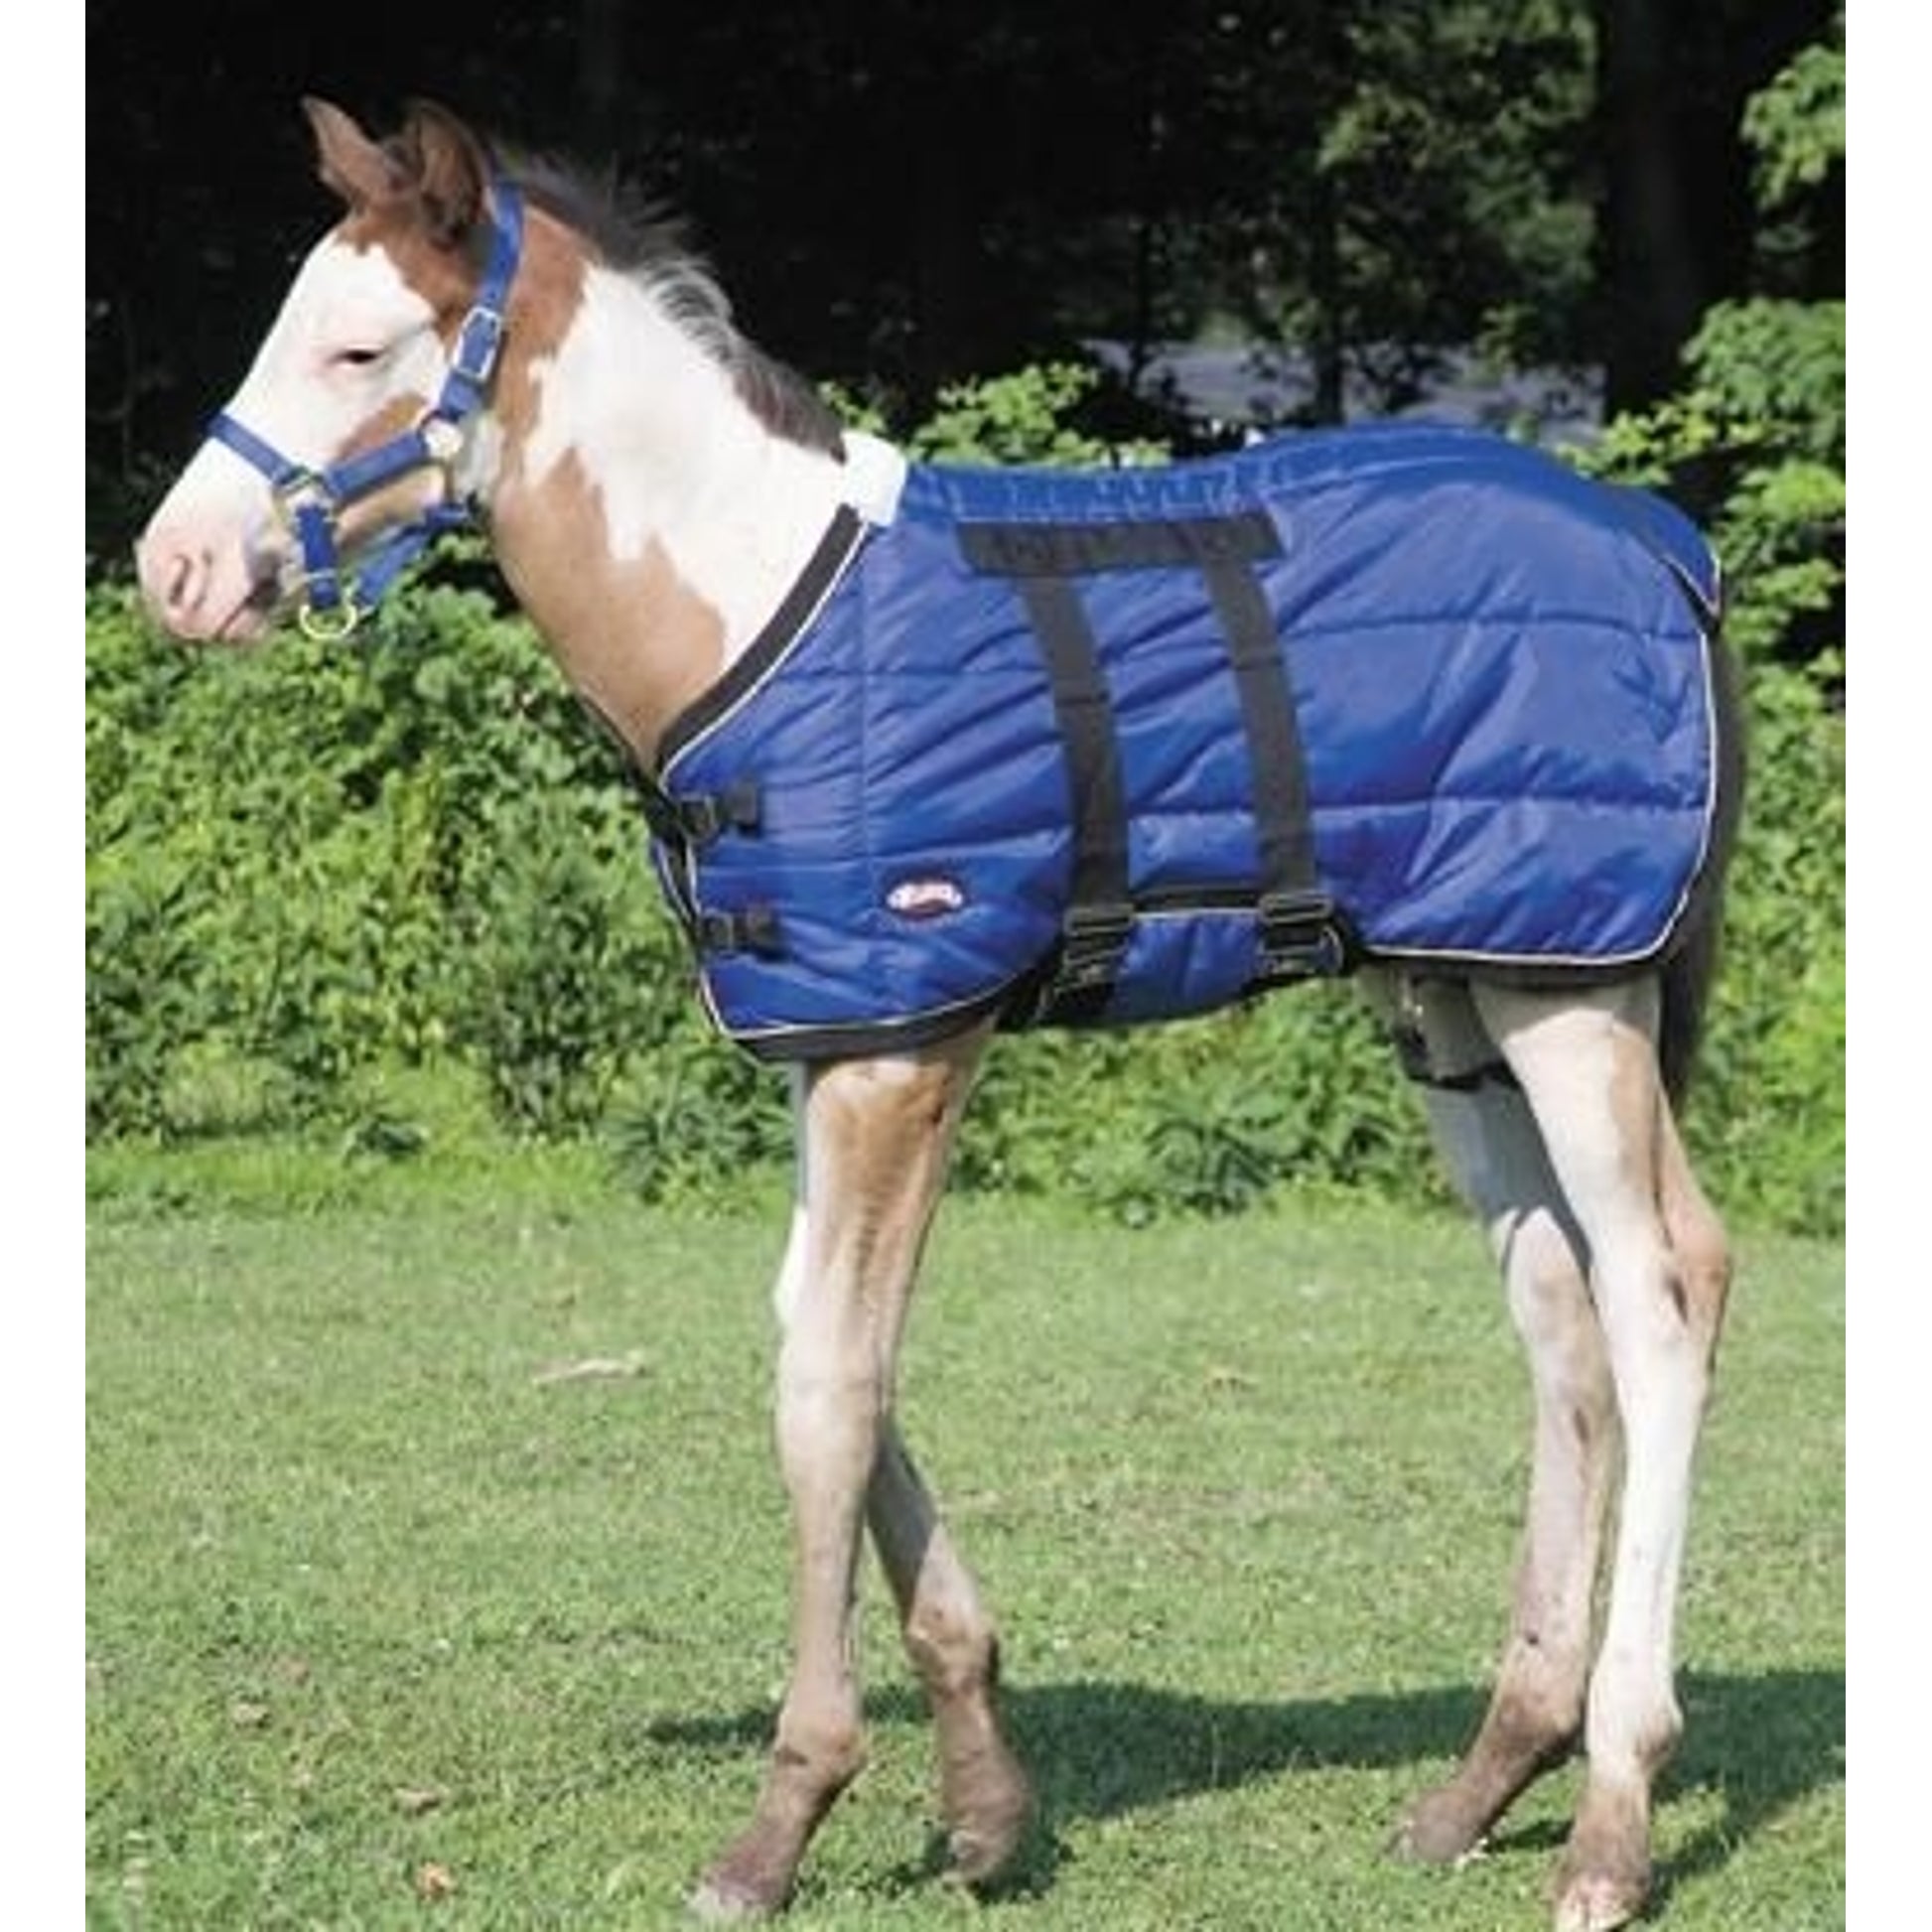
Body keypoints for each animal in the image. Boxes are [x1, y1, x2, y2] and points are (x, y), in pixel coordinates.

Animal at [134, 98, 1744, 1932]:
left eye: (359, 347)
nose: (174, 570)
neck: (756, 601)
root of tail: (1664, 543)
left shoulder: (904, 1047)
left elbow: (828, 1388)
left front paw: (786, 1814)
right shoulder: (837, 1039)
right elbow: (825, 1344)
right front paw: (981, 1797)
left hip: (1572, 992)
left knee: (1661, 1287)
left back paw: (1613, 1812)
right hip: (1457, 998)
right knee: (1556, 1309)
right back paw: (1486, 1777)